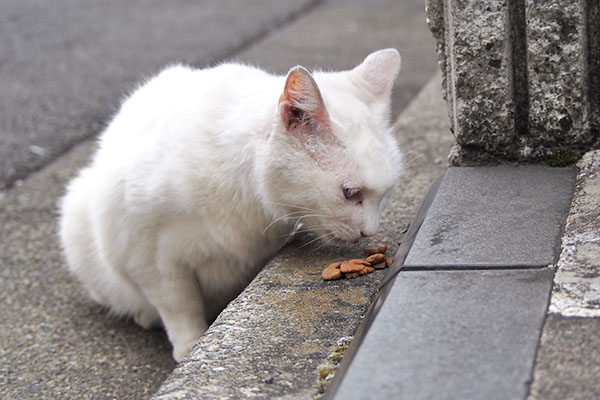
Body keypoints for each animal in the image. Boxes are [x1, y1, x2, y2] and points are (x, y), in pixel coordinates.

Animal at [59, 48, 404, 360]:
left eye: (386, 194)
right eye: (350, 192)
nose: (370, 231)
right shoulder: (145, 255)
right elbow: (177, 304)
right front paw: (191, 345)